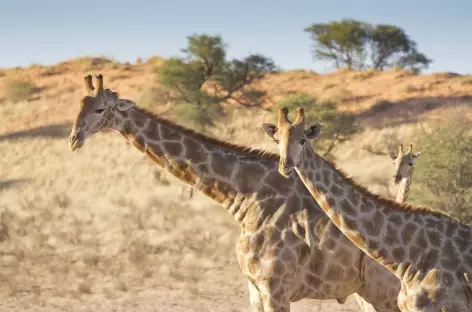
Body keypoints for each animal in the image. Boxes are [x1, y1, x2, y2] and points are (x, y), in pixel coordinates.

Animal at [69, 73, 402, 312]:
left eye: (100, 108)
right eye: (78, 107)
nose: (74, 139)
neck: (246, 197)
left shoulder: (275, 289)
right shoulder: (254, 289)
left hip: (387, 294)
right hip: (367, 294)